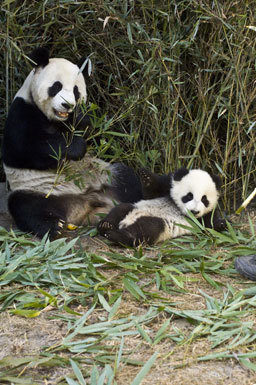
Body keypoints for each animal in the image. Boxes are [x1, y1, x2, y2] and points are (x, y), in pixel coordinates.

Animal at [2, 48, 142, 238]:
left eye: (76, 90)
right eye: (56, 86)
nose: (67, 105)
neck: (57, 120)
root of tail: (84, 205)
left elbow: (101, 137)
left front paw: (84, 122)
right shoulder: (22, 110)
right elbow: (23, 149)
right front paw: (75, 147)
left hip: (107, 175)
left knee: (128, 180)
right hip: (38, 190)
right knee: (26, 206)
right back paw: (54, 225)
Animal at [96, 167, 226, 246]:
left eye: (204, 199)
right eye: (189, 196)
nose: (194, 212)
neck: (178, 207)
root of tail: (127, 222)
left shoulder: (203, 217)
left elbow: (209, 224)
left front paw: (221, 224)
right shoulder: (167, 187)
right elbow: (151, 193)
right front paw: (145, 176)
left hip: (160, 224)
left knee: (147, 229)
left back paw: (118, 236)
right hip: (135, 207)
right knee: (121, 209)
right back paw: (106, 226)